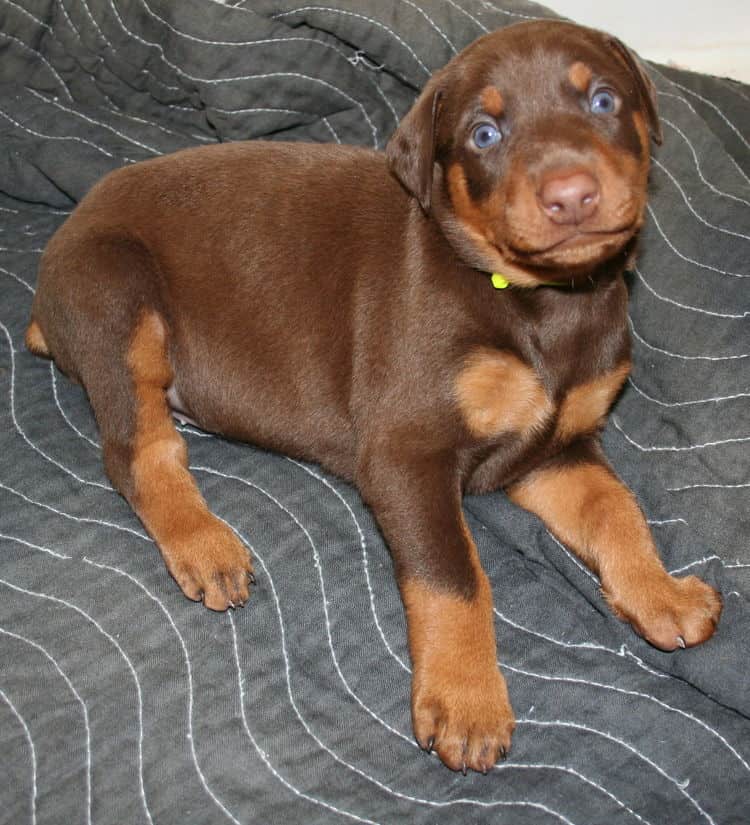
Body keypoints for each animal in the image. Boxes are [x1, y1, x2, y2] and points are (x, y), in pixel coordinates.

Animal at [26, 22, 724, 776]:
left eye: (602, 100)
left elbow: (616, 509)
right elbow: (454, 574)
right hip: (115, 292)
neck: (540, 304)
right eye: (483, 134)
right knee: (138, 448)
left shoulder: (553, 448)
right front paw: (466, 700)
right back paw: (204, 545)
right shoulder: (404, 453)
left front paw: (662, 593)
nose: (570, 195)